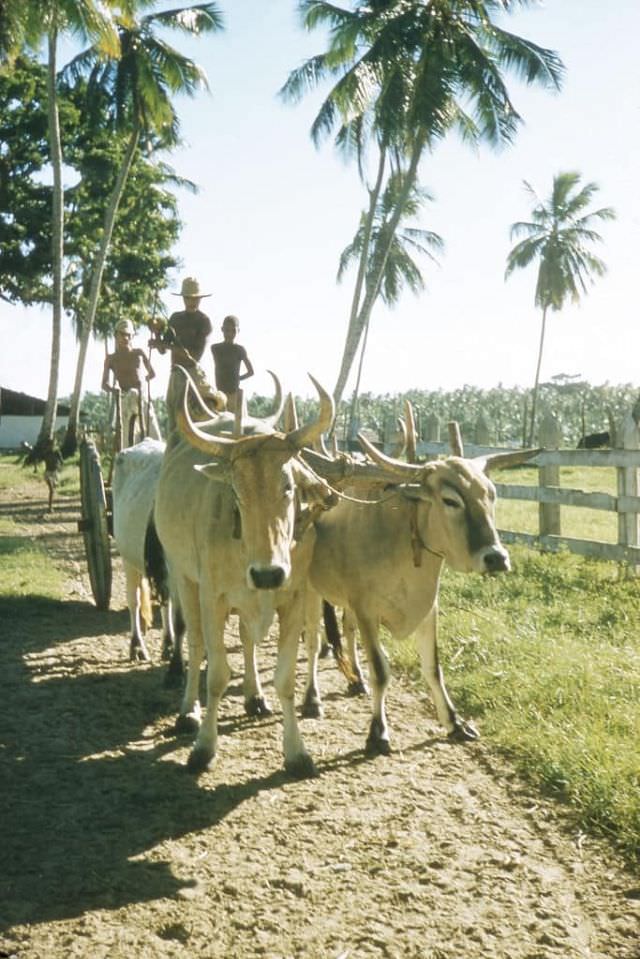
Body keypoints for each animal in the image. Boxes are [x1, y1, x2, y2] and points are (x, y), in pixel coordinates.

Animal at [154, 368, 335, 777]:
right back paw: (188, 711)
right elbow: (217, 674)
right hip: (182, 576)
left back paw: (254, 695)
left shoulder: (293, 598)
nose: (267, 574)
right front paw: (204, 747)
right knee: (194, 643)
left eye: (289, 486)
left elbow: (285, 678)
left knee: (247, 639)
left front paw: (296, 751)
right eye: (236, 492)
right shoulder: (212, 596)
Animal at [302, 434, 537, 756]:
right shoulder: (366, 611)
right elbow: (381, 670)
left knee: (346, 631)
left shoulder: (428, 609)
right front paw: (378, 732)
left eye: (491, 495)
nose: (496, 558)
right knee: (313, 642)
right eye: (450, 500)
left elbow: (433, 668)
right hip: (311, 590)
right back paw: (312, 698)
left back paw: (356, 679)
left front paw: (454, 722)